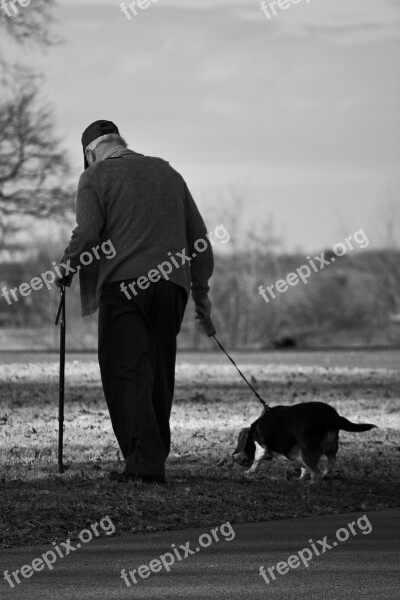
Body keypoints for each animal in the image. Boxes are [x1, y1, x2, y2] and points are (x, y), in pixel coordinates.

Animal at [233, 404, 376, 482]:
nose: (235, 459)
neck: (256, 426)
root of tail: (333, 417)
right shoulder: (299, 454)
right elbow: (303, 467)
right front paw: (300, 478)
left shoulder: (261, 448)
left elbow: (256, 461)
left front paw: (249, 472)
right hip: (330, 449)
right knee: (328, 465)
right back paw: (324, 476)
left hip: (309, 452)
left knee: (316, 473)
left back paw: (312, 484)